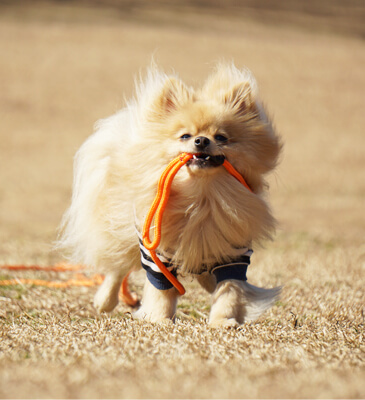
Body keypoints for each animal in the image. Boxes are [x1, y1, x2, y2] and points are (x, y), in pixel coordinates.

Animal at [59, 61, 282, 324]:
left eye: (221, 137)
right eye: (185, 136)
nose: (201, 140)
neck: (201, 200)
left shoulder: (234, 253)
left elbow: (229, 290)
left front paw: (223, 321)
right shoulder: (156, 254)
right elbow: (161, 290)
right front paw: (159, 319)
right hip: (121, 229)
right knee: (117, 266)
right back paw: (105, 300)